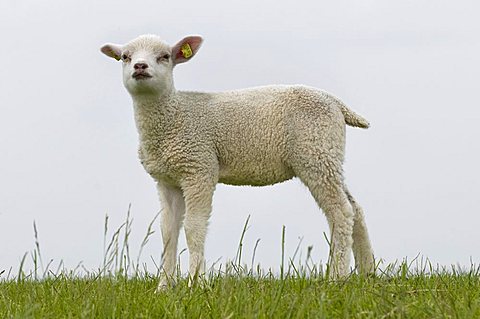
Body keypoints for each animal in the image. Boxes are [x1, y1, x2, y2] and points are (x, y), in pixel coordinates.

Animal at [98, 34, 376, 290]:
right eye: (125, 57)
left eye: (164, 56)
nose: (140, 66)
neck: (173, 116)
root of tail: (335, 103)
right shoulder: (167, 180)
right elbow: (169, 231)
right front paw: (164, 288)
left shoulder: (199, 166)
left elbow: (194, 227)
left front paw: (196, 284)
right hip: (327, 155)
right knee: (356, 209)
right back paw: (367, 273)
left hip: (315, 152)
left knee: (341, 211)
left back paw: (336, 278)